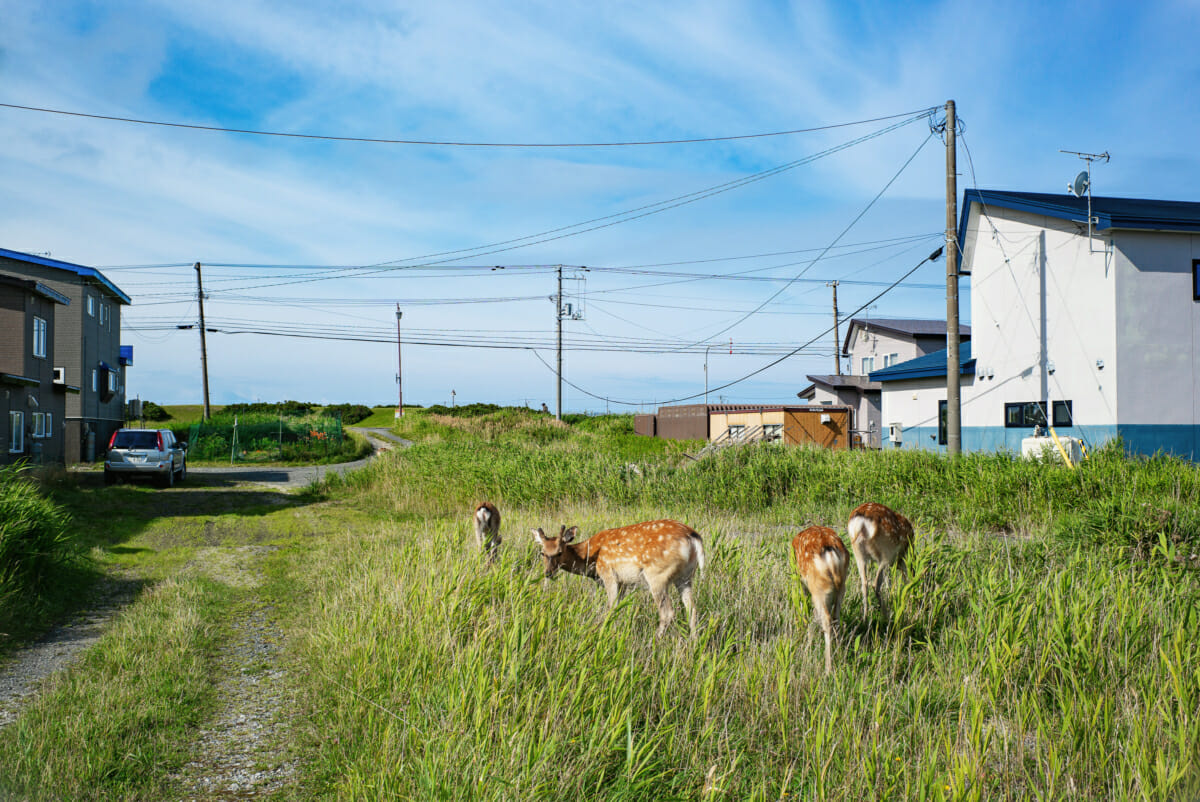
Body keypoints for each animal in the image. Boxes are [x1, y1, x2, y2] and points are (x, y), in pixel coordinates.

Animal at [532, 521, 700, 638]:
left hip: (657, 575)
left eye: (559, 552)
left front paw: (605, 633)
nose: (548, 573)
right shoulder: (623, 583)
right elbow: (619, 608)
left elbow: (611, 608)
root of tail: (693, 538)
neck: (590, 557)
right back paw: (693, 642)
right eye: (542, 553)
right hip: (686, 576)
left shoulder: (609, 574)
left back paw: (655, 640)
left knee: (667, 613)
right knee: (691, 608)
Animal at [792, 523, 849, 672]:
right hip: (841, 587)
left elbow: (804, 608)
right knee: (835, 617)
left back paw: (828, 668)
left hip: (818, 587)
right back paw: (840, 655)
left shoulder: (801, 582)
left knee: (826, 619)